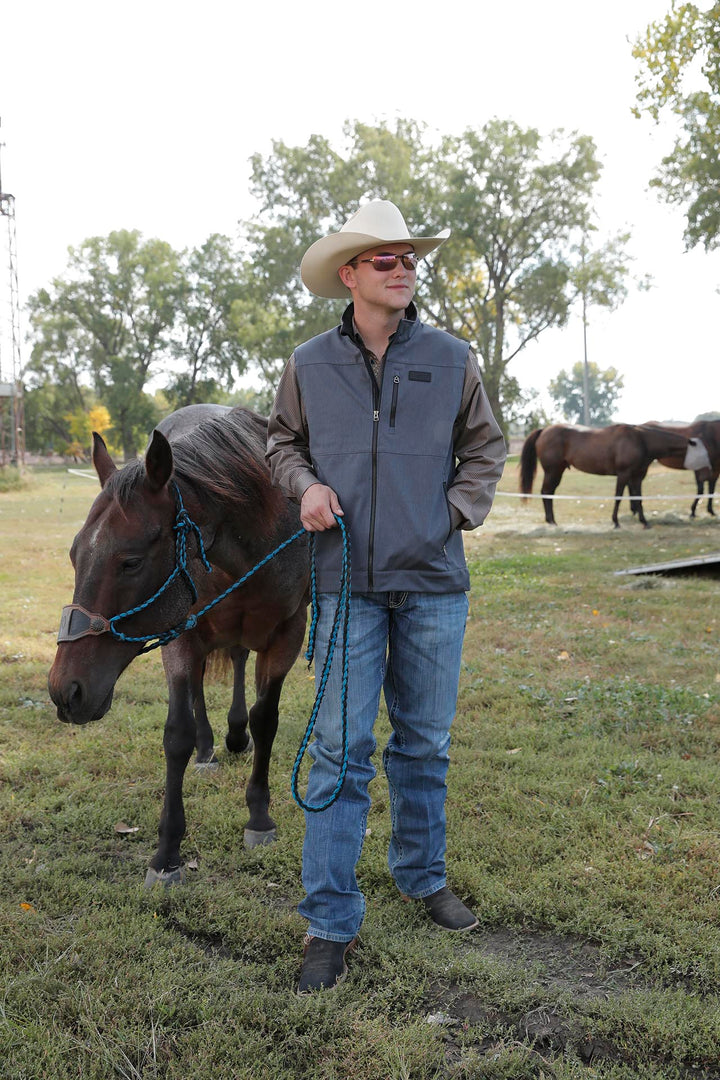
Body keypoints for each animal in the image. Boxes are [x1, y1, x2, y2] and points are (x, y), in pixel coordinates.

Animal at [49, 406, 308, 885]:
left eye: (131, 562)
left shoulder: (288, 632)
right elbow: (177, 735)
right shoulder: (181, 633)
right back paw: (210, 746)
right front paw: (167, 852)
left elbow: (266, 719)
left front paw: (259, 816)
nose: (65, 690)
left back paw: (235, 735)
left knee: (238, 661)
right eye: (75, 556)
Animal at [520, 421, 695, 527]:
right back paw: (551, 522)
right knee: (546, 492)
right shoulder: (624, 474)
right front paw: (616, 522)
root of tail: (544, 430)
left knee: (548, 493)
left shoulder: (637, 477)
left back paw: (551, 521)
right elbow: (619, 497)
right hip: (553, 471)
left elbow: (638, 498)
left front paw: (644, 522)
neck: (641, 440)